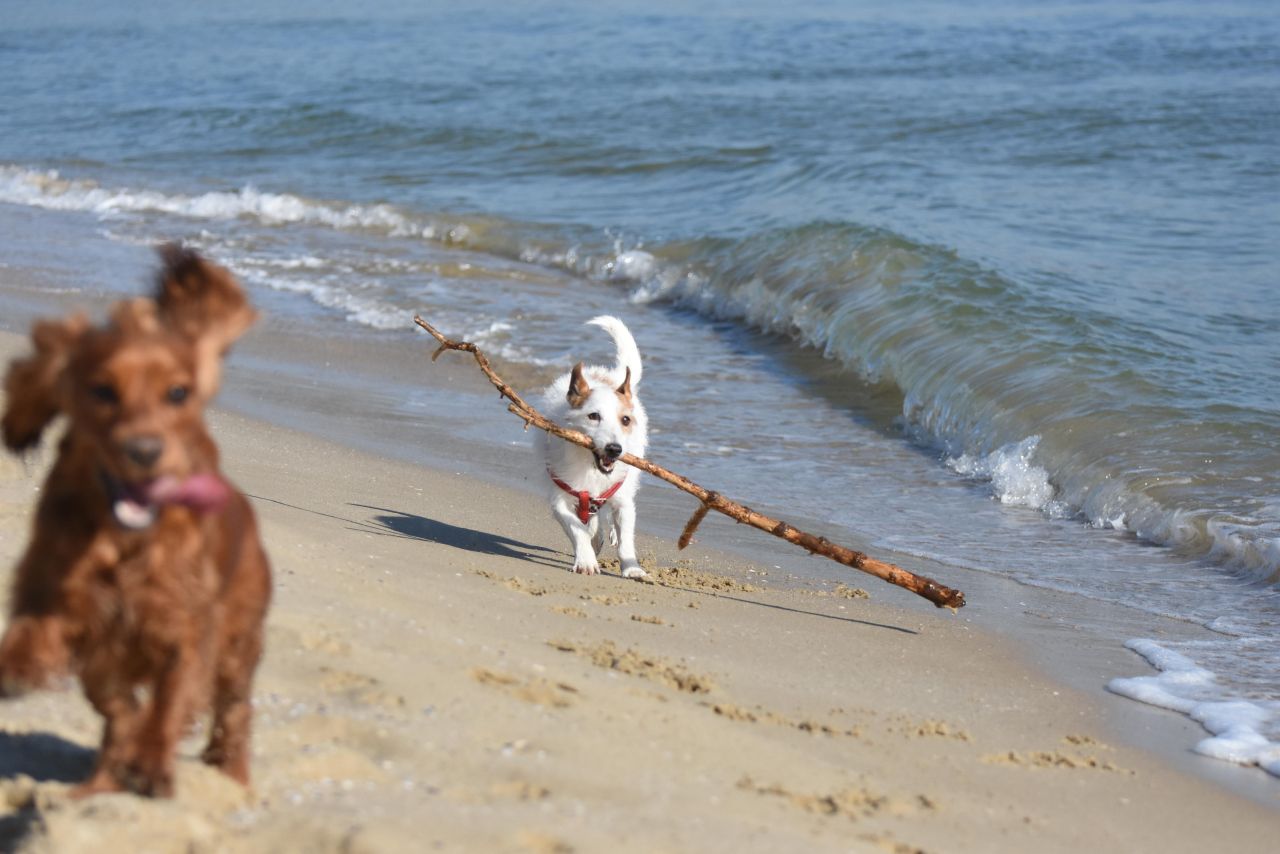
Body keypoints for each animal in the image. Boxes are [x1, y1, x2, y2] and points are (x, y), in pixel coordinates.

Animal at [0, 247, 270, 804]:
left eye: (178, 392)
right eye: (102, 390)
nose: (144, 451)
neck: (121, 537)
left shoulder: (189, 623)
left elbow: (172, 696)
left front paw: (151, 762)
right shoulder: (68, 602)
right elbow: (41, 632)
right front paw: (18, 666)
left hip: (240, 642)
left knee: (233, 711)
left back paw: (232, 778)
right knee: (123, 712)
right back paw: (96, 787)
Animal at [535, 317, 650, 578]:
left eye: (625, 420)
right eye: (593, 416)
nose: (615, 449)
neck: (591, 466)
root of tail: (608, 376)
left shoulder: (622, 499)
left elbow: (626, 537)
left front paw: (632, 569)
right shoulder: (561, 498)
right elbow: (576, 528)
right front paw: (586, 560)